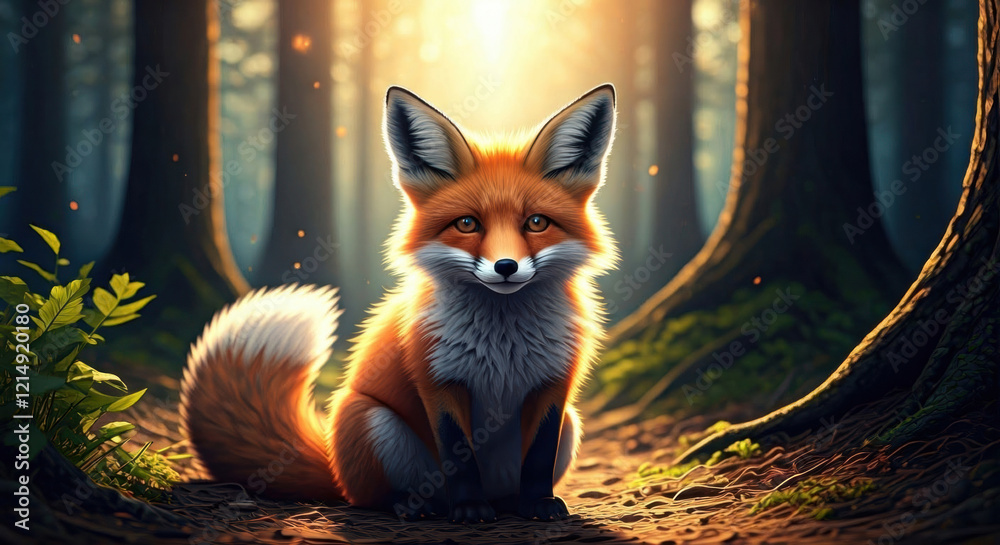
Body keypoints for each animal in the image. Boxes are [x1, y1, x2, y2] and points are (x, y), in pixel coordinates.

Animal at [180, 84, 618, 523]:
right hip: (372, 421)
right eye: (467, 224)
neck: (503, 344)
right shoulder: (436, 379)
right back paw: (415, 504)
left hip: (572, 423)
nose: (506, 267)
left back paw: (506, 503)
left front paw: (539, 503)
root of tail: (334, 466)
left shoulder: (554, 383)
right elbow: (459, 455)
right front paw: (469, 508)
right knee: (370, 497)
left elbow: (540, 456)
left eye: (536, 223)